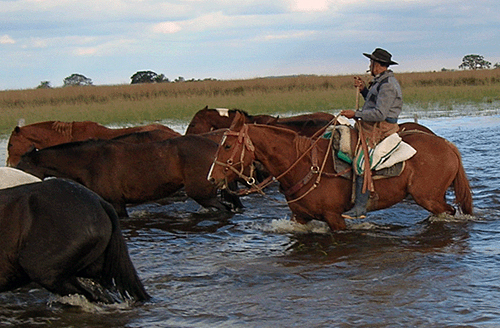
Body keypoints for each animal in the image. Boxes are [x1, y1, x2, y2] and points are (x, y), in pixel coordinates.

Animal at [207, 113, 472, 231]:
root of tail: (446, 145)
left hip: (429, 197)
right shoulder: (300, 218)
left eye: (227, 146)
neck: (304, 165)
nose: (212, 177)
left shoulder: (335, 218)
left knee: (449, 211)